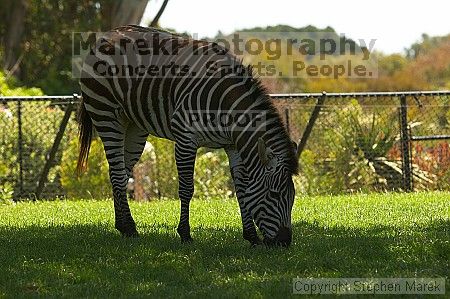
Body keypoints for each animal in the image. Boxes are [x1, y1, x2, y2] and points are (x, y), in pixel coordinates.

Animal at [77, 25, 298, 246]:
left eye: (293, 196)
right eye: (274, 194)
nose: (284, 242)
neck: (226, 107)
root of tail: (109, 33)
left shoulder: (233, 145)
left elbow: (242, 189)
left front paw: (251, 236)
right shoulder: (185, 139)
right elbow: (186, 188)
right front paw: (184, 233)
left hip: (134, 127)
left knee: (121, 174)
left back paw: (123, 226)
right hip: (105, 115)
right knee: (116, 173)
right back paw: (129, 227)